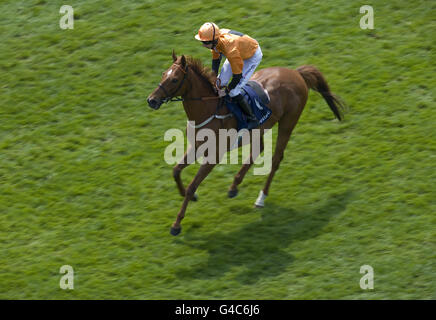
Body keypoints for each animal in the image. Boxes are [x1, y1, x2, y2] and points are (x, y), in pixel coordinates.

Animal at [148, 50, 346, 235]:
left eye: (174, 80)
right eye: (163, 74)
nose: (151, 100)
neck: (208, 109)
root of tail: (296, 73)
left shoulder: (214, 156)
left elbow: (191, 186)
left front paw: (176, 224)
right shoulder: (196, 147)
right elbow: (176, 171)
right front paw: (191, 196)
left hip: (288, 122)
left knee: (275, 159)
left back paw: (261, 198)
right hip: (260, 128)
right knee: (259, 149)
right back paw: (234, 186)